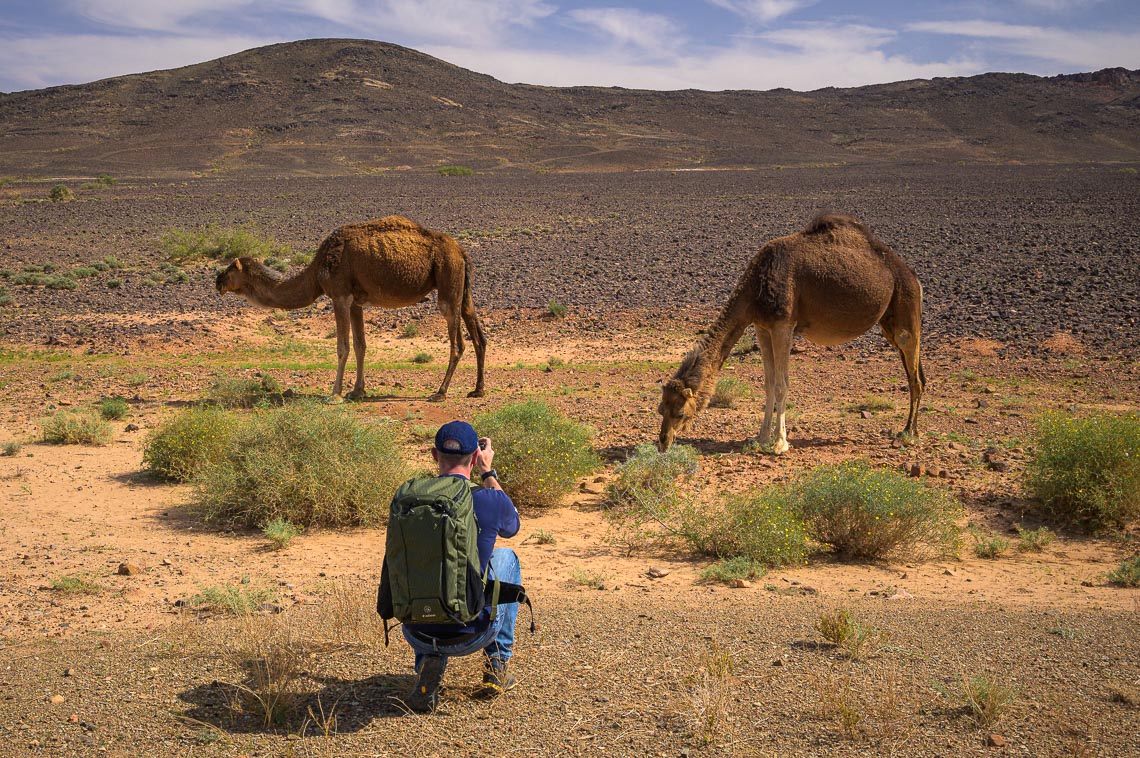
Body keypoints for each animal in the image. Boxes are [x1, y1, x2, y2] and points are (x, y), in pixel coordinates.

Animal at [216, 214, 485, 401]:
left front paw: (334, 394)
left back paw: (440, 392)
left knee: (457, 342)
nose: (217, 281)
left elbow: (342, 347)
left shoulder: (340, 296)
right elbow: (360, 346)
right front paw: (357, 392)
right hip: (461, 286)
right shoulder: (356, 302)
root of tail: (461, 251)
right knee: (478, 334)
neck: (316, 271)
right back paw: (477, 390)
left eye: (229, 268)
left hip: (447, 277)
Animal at [661, 209, 925, 451]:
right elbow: (768, 384)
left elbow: (781, 385)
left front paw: (780, 443)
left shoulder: (783, 326)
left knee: (915, 377)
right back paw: (910, 429)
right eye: (661, 409)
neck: (756, 287)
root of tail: (914, 278)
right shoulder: (762, 327)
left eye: (680, 413)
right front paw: (761, 437)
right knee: (915, 373)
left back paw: (908, 433)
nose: (663, 442)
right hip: (889, 324)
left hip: (906, 311)